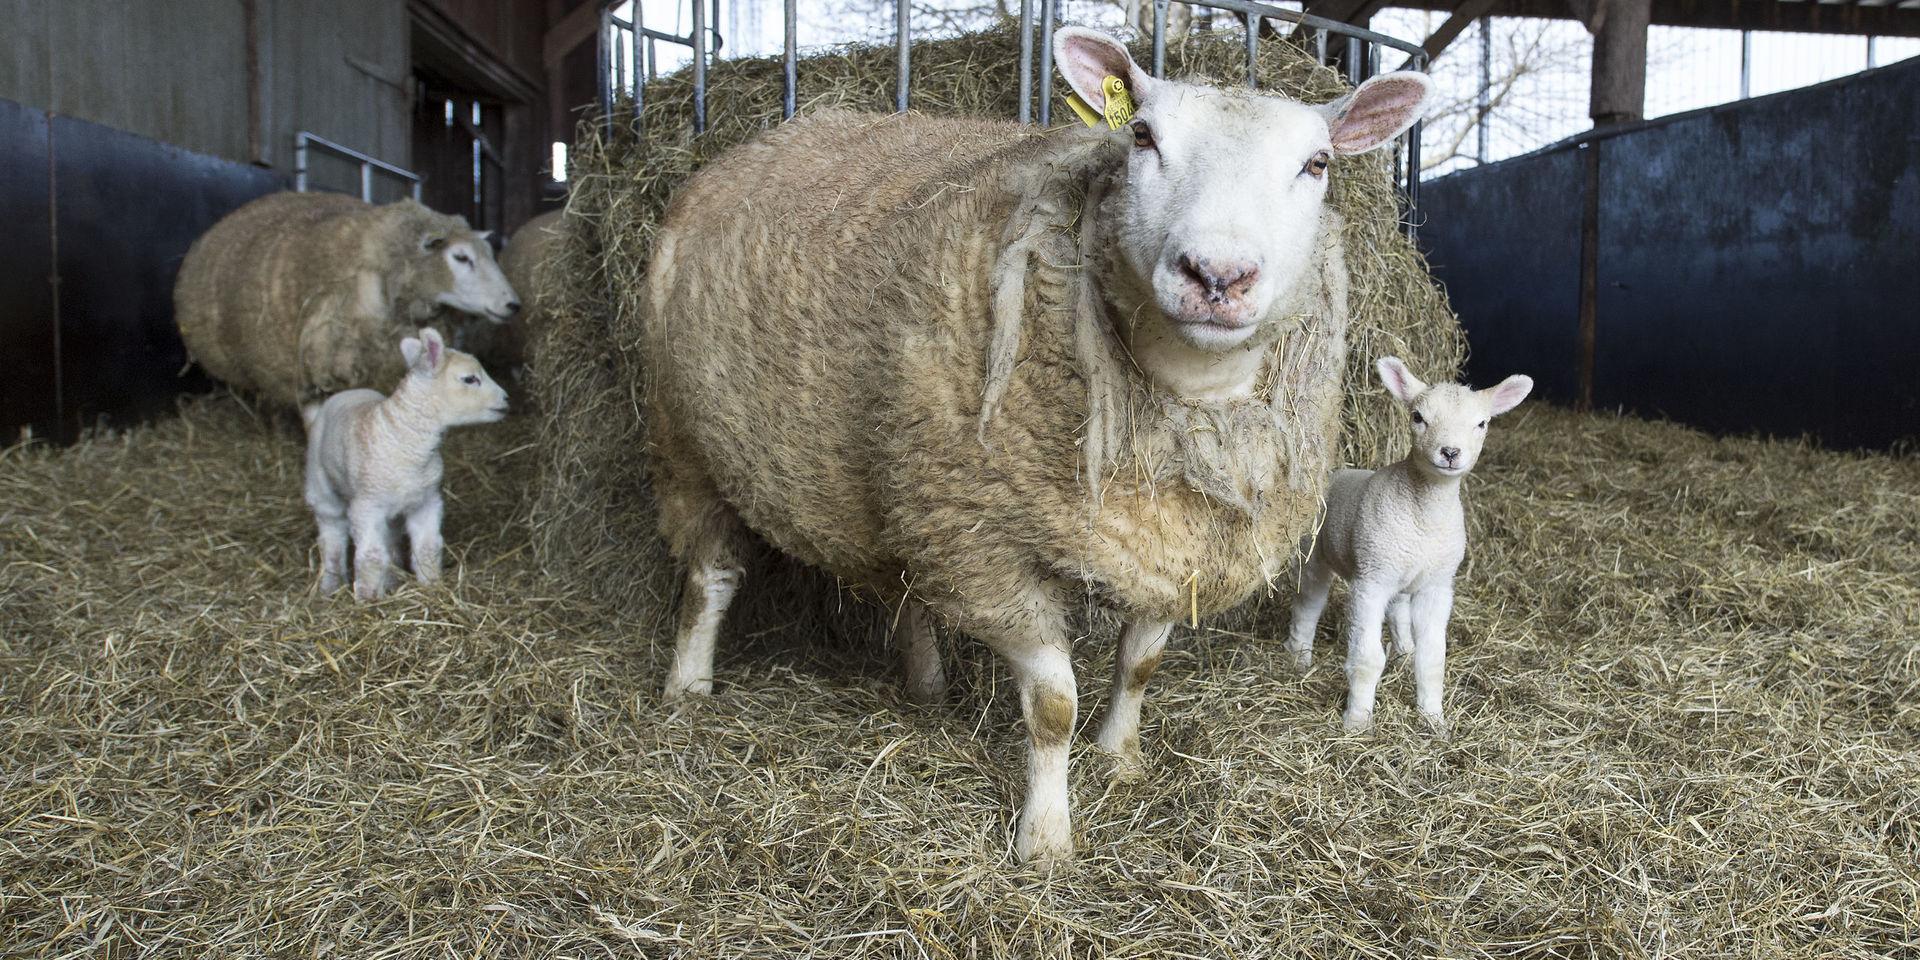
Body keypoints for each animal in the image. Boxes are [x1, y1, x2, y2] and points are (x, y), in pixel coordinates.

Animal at [303, 330, 510, 599]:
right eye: (470, 379)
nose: (506, 399)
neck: (404, 439)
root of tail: (347, 392)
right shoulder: (366, 506)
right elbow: (371, 556)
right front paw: (368, 600)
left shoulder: (426, 500)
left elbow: (428, 547)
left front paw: (431, 586)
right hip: (321, 486)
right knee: (332, 534)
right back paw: (330, 585)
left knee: (389, 538)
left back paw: (392, 579)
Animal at [637, 26, 1436, 860]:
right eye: (1141, 135)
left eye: (1317, 164)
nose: (1218, 274)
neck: (1188, 391)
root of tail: (754, 147)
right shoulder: (989, 550)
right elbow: (1054, 705)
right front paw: (1046, 836)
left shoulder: (1171, 546)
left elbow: (1140, 663)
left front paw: (1120, 756)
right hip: (686, 436)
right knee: (711, 577)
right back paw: (687, 687)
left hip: (905, 485)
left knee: (906, 586)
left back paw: (926, 688)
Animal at [1282, 357, 1536, 737]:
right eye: (1418, 417)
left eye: (1482, 423)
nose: (1450, 452)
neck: (1424, 515)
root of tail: (1335, 472)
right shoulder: (1370, 582)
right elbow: (1367, 658)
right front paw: (1358, 721)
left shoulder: (1437, 585)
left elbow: (1432, 659)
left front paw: (1433, 719)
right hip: (1313, 555)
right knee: (1307, 605)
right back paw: (1299, 657)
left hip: (1400, 571)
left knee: (1398, 609)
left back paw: (1403, 652)